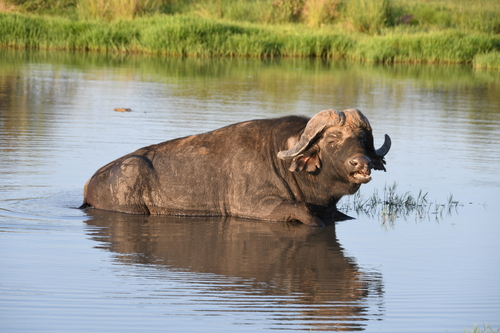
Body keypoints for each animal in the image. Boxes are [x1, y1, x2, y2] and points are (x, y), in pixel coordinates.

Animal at [80, 109, 390, 226]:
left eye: (362, 138)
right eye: (333, 138)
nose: (361, 163)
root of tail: (92, 181)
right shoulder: (253, 206)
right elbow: (305, 214)